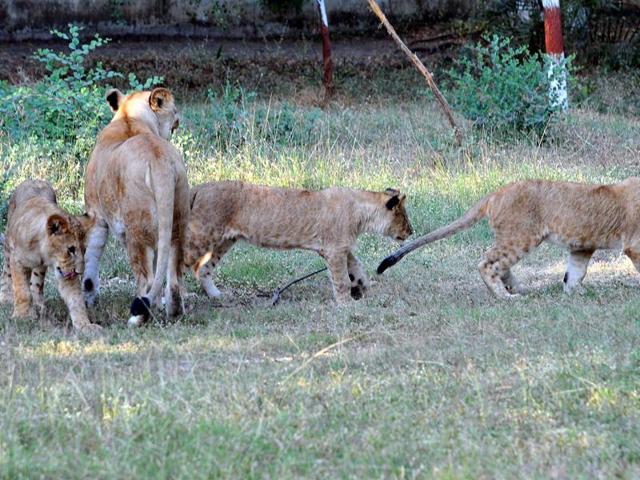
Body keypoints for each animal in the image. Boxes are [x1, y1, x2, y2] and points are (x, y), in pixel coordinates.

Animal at [0, 180, 100, 334]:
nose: (79, 272)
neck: (42, 250)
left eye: (84, 250)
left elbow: (76, 299)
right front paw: (21, 317)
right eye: (71, 250)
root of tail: (33, 179)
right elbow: (22, 291)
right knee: (6, 273)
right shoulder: (17, 260)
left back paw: (39, 305)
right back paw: (5, 298)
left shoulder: (65, 272)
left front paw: (85, 325)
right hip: (7, 246)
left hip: (40, 268)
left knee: (36, 284)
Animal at [82, 87, 189, 326]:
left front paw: (88, 297)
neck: (128, 117)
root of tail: (158, 159)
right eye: (174, 108)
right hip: (176, 222)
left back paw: (137, 318)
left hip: (136, 229)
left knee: (146, 279)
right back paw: (172, 311)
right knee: (173, 274)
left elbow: (91, 255)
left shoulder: (96, 215)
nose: (179, 118)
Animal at [184, 181, 413, 303]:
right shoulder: (334, 250)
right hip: (202, 236)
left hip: (224, 241)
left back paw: (216, 295)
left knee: (203, 268)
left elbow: (357, 269)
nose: (412, 231)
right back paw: (182, 297)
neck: (360, 213)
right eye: (404, 217)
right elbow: (341, 280)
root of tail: (199, 187)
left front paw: (366, 289)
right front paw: (346, 304)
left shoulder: (343, 248)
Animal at [377, 178, 640, 297]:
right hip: (521, 237)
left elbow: (574, 275)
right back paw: (505, 296)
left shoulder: (582, 247)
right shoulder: (634, 245)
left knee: (499, 265)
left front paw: (577, 294)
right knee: (486, 263)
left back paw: (520, 290)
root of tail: (496, 192)